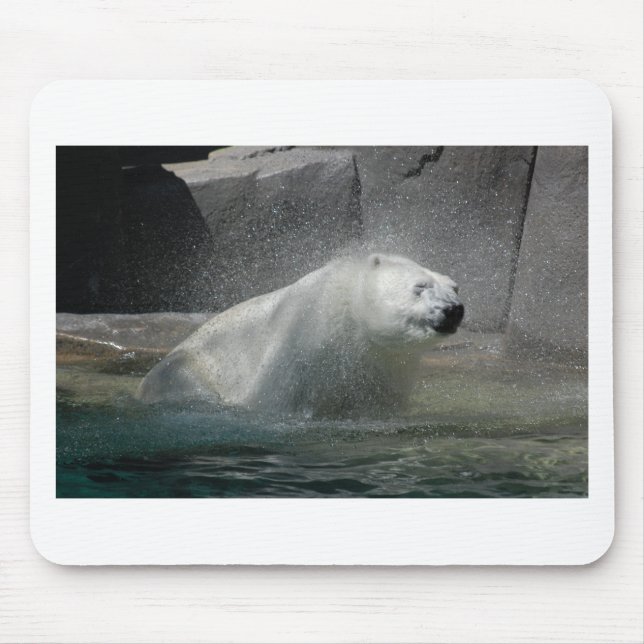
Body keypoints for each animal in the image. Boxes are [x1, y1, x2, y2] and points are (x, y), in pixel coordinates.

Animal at [136, 254, 464, 417]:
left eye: (454, 286)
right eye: (420, 286)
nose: (454, 309)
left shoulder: (387, 363)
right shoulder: (298, 348)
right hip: (183, 368)